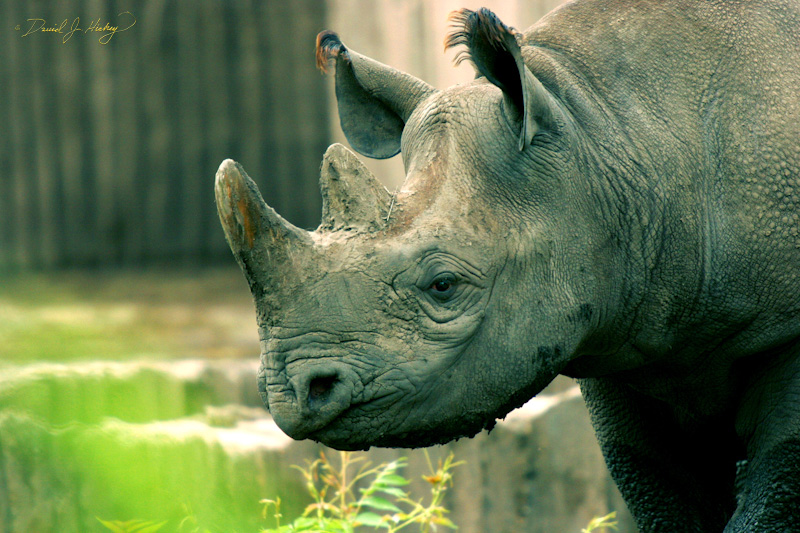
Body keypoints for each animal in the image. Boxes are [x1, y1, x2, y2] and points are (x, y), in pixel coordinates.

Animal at [215, 1, 800, 530]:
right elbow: (660, 490)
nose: (291, 395)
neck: (602, 126)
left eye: (443, 285)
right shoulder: (626, 331)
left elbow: (772, 493)